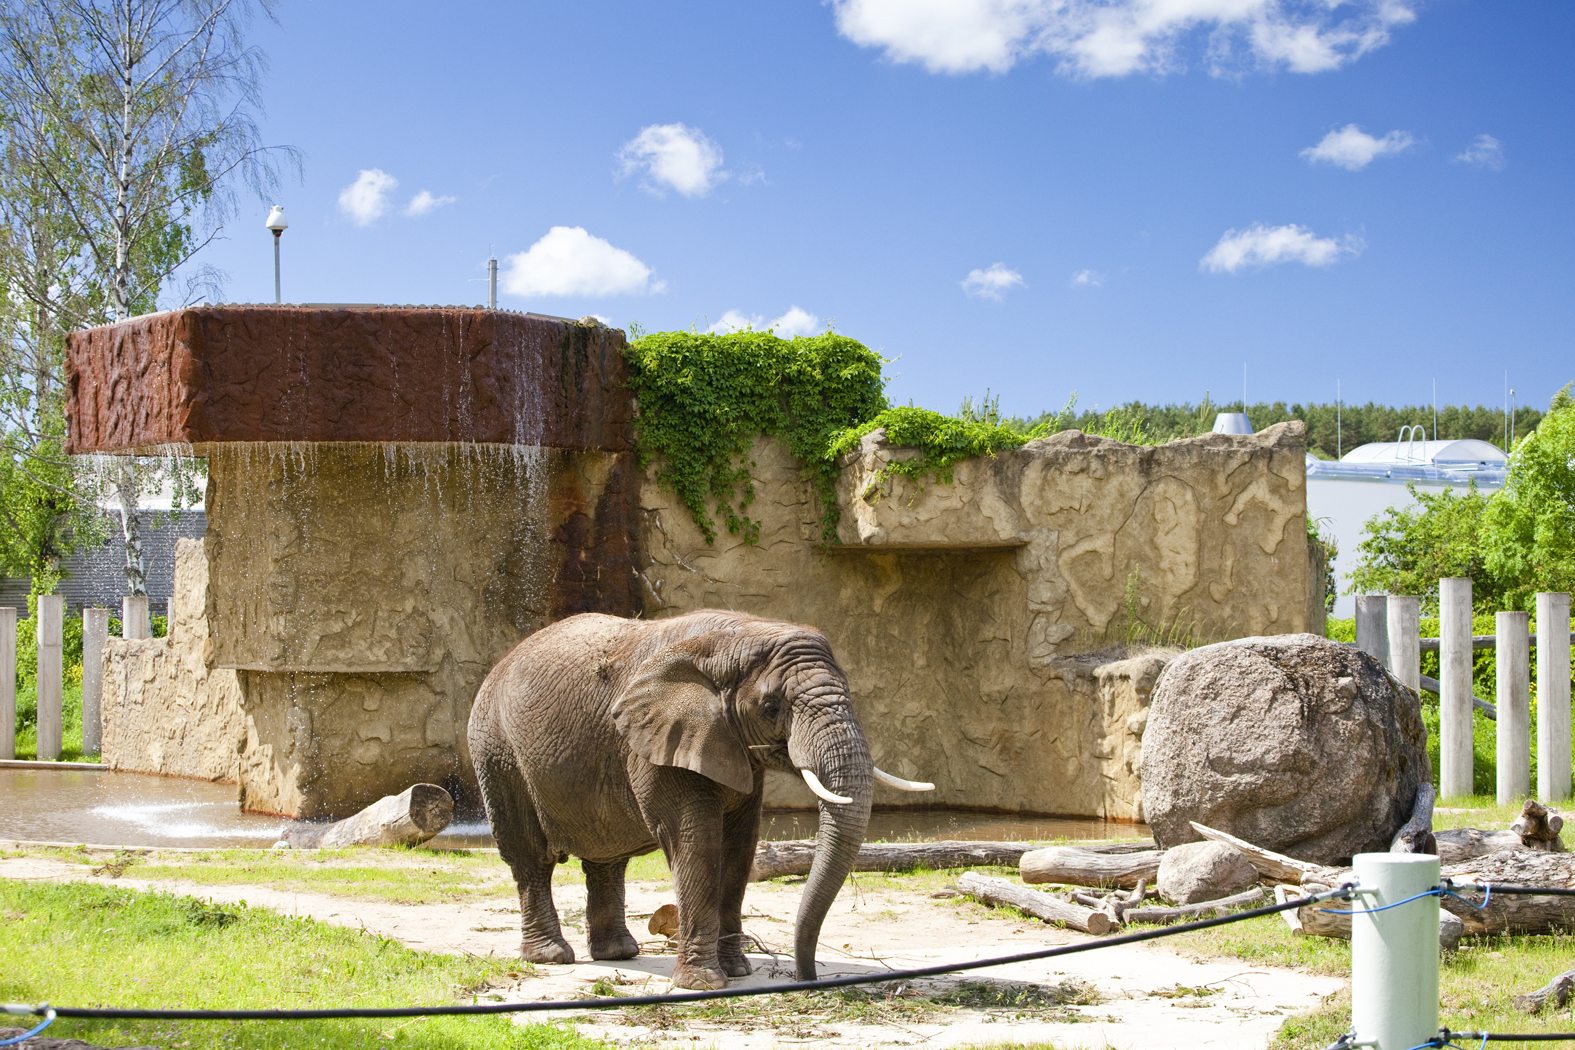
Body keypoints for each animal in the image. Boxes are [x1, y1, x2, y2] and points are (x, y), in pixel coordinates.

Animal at [469, 607, 932, 994]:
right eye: (772, 707)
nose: (808, 979)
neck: (736, 636)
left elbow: (739, 846)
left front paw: (739, 971)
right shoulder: (654, 743)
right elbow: (696, 842)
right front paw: (703, 984)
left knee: (606, 859)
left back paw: (620, 953)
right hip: (497, 752)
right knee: (531, 858)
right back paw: (551, 957)